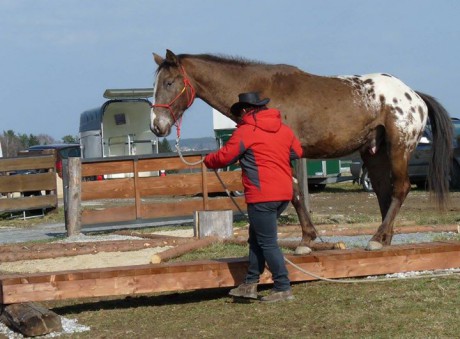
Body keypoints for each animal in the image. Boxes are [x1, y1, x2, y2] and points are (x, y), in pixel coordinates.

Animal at [148, 49, 452, 254]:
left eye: (169, 83)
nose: (156, 126)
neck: (263, 96)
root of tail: (414, 95)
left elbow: (293, 192)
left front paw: (306, 240)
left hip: (399, 149)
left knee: (401, 188)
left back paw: (378, 239)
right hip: (374, 153)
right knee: (384, 192)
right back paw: (383, 238)